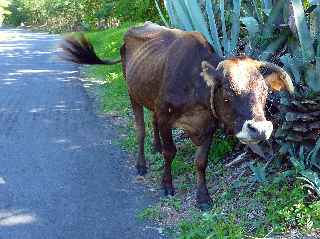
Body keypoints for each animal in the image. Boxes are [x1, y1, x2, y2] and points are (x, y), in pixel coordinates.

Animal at [61, 22, 294, 209]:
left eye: (264, 93)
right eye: (228, 95)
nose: (260, 129)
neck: (195, 88)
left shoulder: (209, 125)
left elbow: (201, 162)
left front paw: (203, 197)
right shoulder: (166, 117)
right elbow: (170, 152)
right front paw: (166, 185)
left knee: (151, 121)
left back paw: (155, 146)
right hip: (132, 94)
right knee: (140, 130)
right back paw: (141, 164)